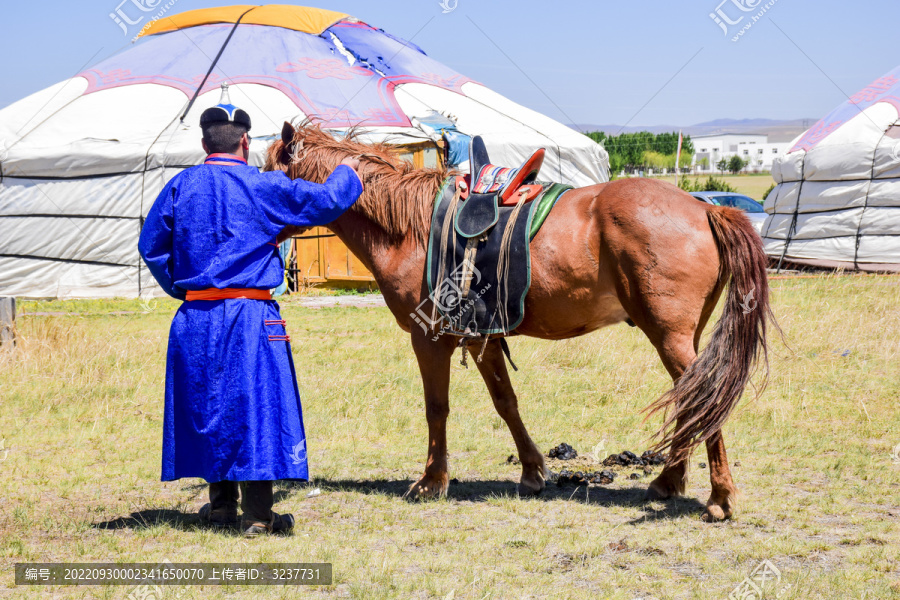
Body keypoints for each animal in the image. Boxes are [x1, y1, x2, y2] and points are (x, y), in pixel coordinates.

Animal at [268, 120, 772, 520]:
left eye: (268, 171)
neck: (410, 229)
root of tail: (707, 207)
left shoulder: (429, 339)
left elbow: (437, 408)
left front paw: (431, 482)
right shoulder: (483, 337)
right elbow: (505, 402)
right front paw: (532, 472)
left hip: (669, 336)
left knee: (704, 401)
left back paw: (719, 497)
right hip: (683, 338)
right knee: (693, 401)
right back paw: (668, 482)